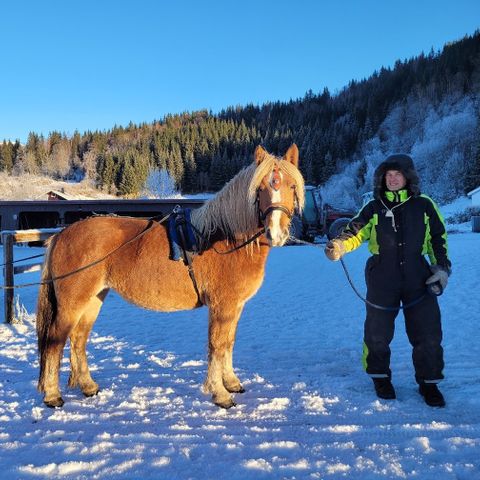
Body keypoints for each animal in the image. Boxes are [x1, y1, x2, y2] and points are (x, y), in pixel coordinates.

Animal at [38, 143, 308, 408]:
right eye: (260, 188)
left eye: (291, 186)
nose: (276, 233)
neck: (224, 238)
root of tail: (62, 234)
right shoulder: (222, 306)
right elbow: (217, 345)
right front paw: (220, 394)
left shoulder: (235, 306)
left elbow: (228, 343)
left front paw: (231, 382)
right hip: (72, 303)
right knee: (55, 341)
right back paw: (52, 395)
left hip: (94, 299)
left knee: (78, 339)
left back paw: (88, 386)